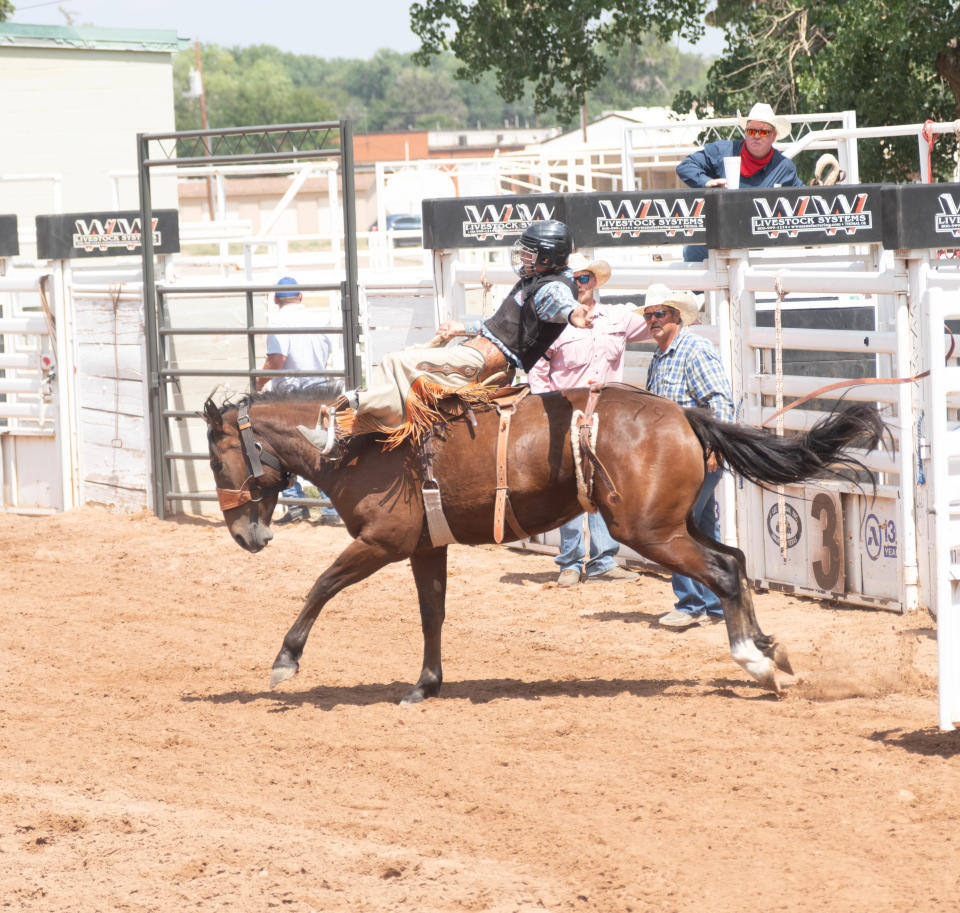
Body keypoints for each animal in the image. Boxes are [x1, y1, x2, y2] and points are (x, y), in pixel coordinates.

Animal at [201, 382, 884, 700]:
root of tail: (686, 414)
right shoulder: (426, 548)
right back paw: (771, 651)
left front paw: (284, 662)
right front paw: (425, 685)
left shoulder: (381, 542)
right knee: (733, 561)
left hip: (648, 532)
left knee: (720, 573)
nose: (243, 533)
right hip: (669, 525)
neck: (360, 445)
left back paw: (756, 660)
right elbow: (431, 613)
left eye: (213, 458)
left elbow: (321, 585)